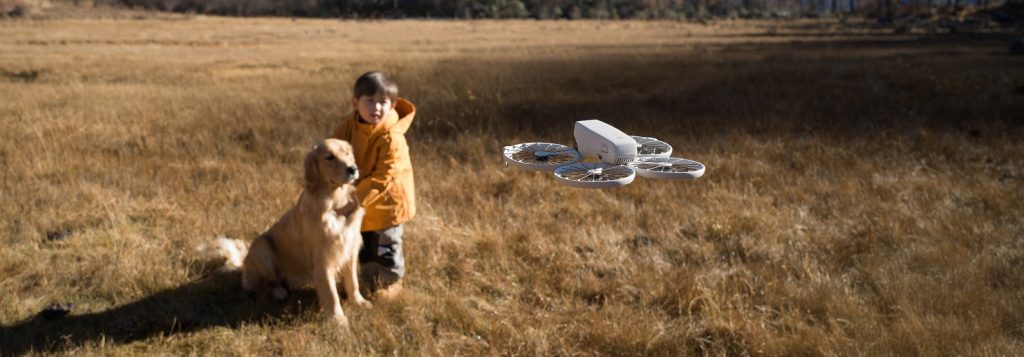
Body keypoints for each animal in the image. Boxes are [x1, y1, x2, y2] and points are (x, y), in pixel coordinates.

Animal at [214, 138, 370, 327]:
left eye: (347, 153)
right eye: (329, 157)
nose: (352, 169)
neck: (335, 203)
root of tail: (244, 265)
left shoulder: (350, 250)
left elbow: (353, 282)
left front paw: (359, 302)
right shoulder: (322, 259)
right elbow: (331, 293)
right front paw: (338, 319)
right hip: (261, 246)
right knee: (269, 281)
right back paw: (279, 292)